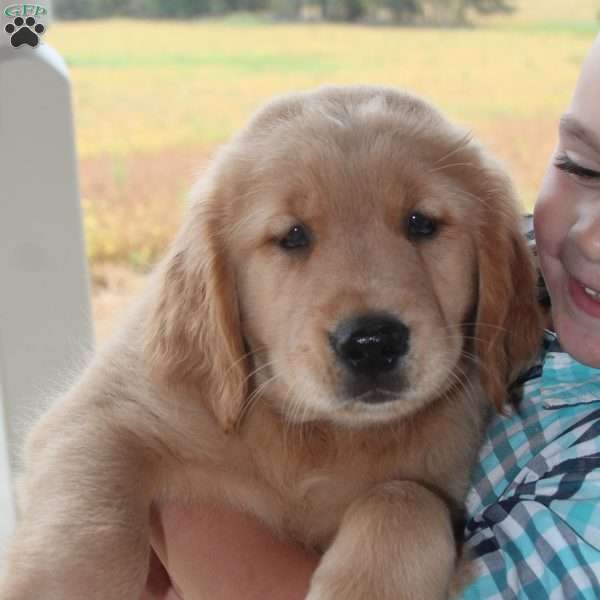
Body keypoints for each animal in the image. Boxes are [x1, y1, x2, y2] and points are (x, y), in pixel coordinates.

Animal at [0, 85, 540, 600]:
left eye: (421, 223)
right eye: (293, 236)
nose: (371, 343)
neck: (313, 434)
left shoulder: (439, 485)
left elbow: (404, 498)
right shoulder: (100, 414)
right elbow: (89, 524)